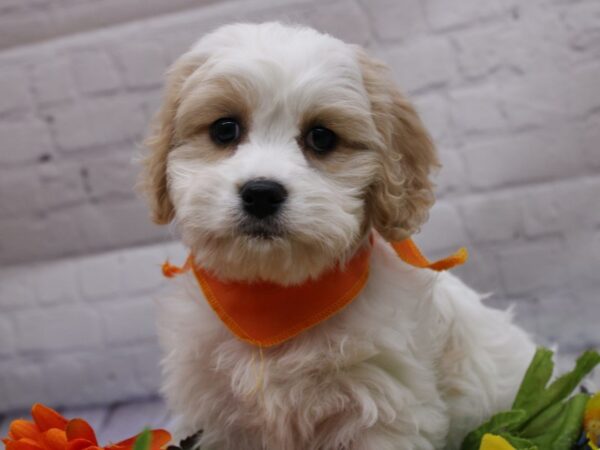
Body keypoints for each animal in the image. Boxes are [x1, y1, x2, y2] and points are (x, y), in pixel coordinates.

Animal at [139, 22, 536, 450]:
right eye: (225, 129)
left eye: (322, 138)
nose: (261, 193)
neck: (274, 303)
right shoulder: (214, 416)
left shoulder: (382, 408)